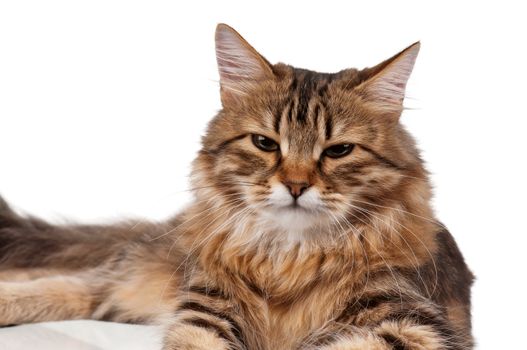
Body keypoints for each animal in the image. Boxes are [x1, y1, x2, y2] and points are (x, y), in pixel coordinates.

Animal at [0, 23, 474, 348]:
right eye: (265, 143)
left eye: (338, 151)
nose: (296, 186)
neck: (290, 258)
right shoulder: (206, 308)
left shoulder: (410, 321)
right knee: (74, 282)